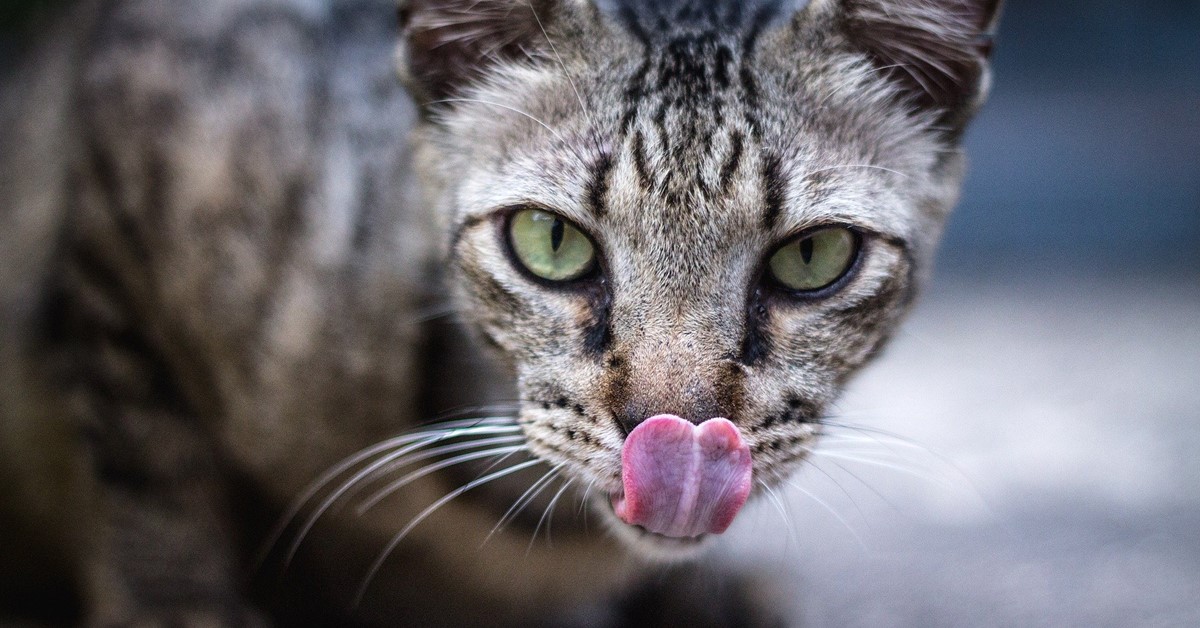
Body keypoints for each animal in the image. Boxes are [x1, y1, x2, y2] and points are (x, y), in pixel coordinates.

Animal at [0, 0, 993, 624]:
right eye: (549, 242)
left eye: (811, 258)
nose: (676, 430)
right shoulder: (130, 149)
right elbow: (151, 483)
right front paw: (180, 605)